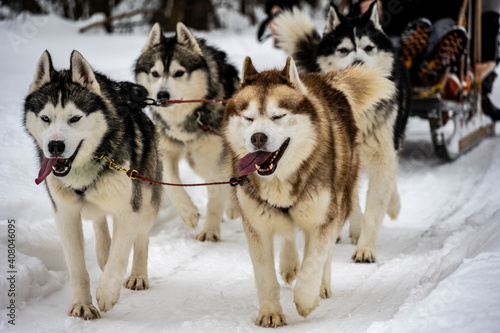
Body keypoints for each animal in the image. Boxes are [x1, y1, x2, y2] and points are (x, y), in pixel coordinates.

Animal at [23, 50, 162, 318]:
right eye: (45, 118)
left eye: (75, 118)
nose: (55, 146)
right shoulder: (65, 213)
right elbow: (77, 266)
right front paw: (82, 304)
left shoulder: (129, 209)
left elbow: (120, 256)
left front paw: (107, 293)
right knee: (99, 221)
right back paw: (103, 252)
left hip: (148, 199)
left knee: (141, 238)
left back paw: (138, 275)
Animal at [135, 24, 240, 241]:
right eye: (155, 73)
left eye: (179, 73)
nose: (162, 95)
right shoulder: (166, 151)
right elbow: (171, 182)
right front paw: (188, 213)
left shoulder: (217, 156)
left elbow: (216, 195)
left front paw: (210, 231)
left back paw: (233, 207)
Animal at [223, 56, 394, 324]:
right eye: (248, 118)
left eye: (278, 116)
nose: (257, 138)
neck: (281, 179)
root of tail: (323, 79)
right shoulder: (256, 225)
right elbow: (265, 274)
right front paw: (270, 312)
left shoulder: (325, 218)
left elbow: (314, 260)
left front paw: (305, 299)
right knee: (290, 235)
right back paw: (289, 263)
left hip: (340, 200)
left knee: (323, 251)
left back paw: (320, 285)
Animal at [276, 2, 412, 262]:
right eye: (344, 50)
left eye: (368, 48)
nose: (357, 63)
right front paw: (355, 230)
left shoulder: (383, 153)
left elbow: (375, 206)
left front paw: (366, 248)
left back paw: (393, 205)